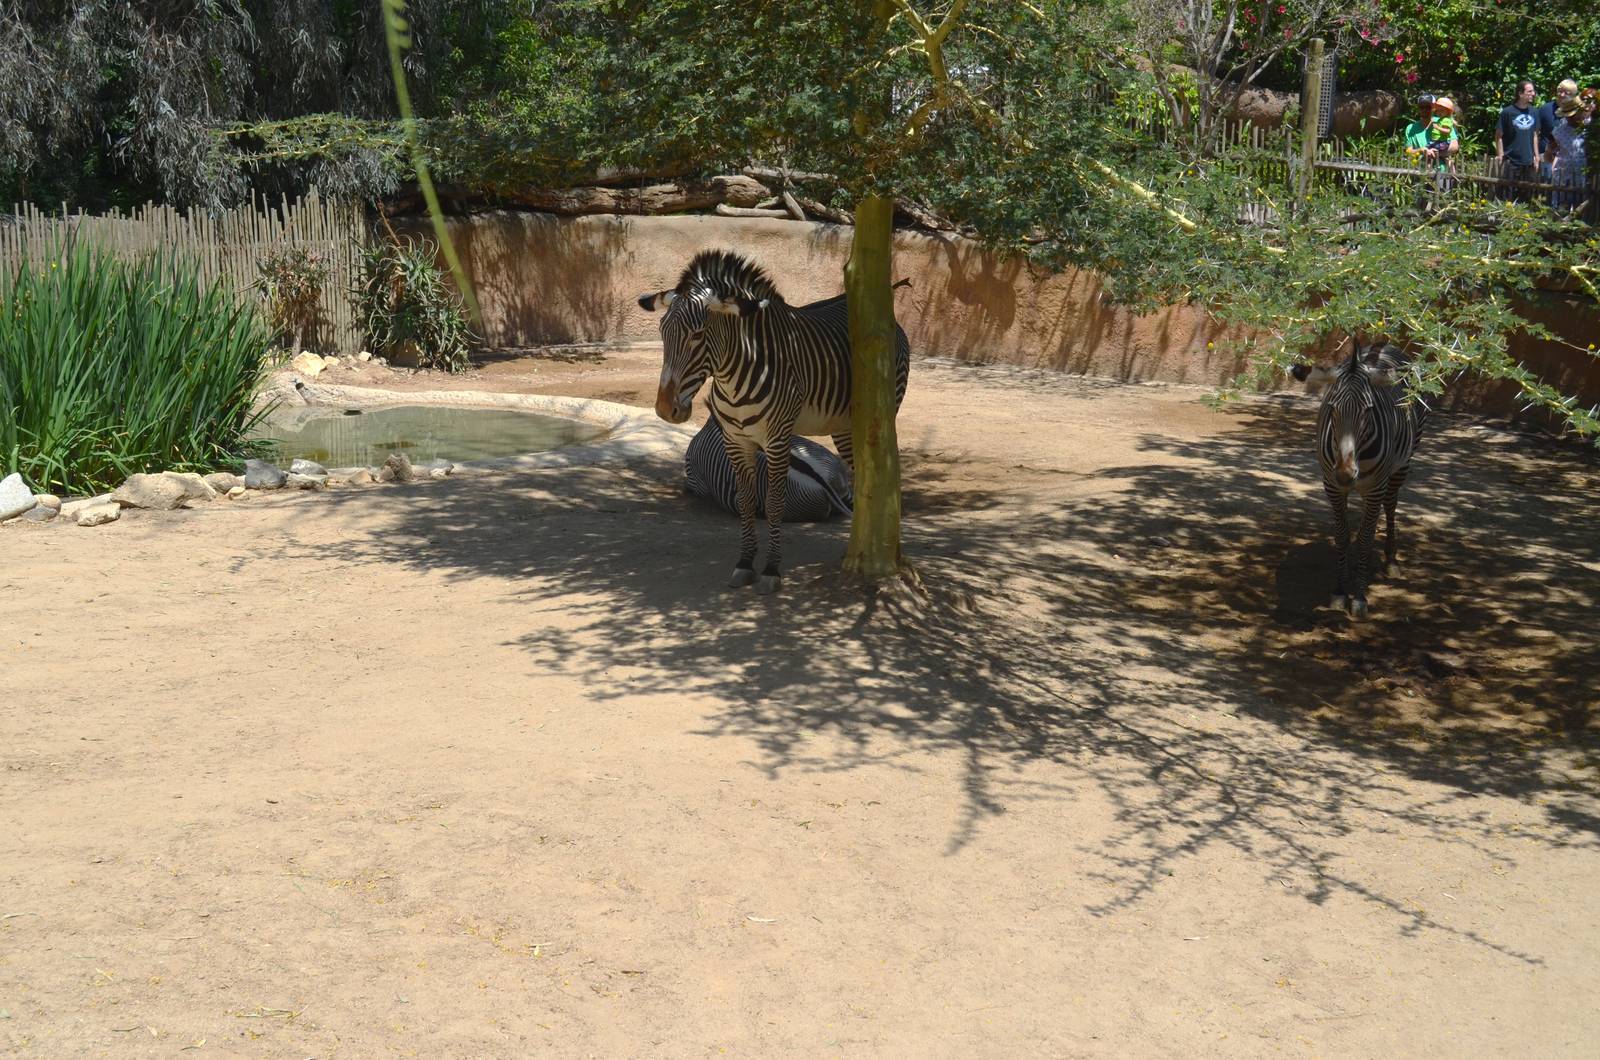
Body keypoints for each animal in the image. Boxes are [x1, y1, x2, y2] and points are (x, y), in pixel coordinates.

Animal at [638, 249, 911, 593]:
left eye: (697, 336)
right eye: (662, 333)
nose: (664, 409)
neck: (734, 376)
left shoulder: (778, 440)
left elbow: (774, 502)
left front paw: (771, 569)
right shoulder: (735, 441)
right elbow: (745, 501)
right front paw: (744, 563)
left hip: (883, 408)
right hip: (844, 426)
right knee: (862, 476)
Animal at [1292, 343, 1428, 618]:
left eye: (1369, 410)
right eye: (1332, 408)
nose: (1345, 474)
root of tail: (1387, 346)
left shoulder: (1375, 487)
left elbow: (1365, 539)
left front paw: (1360, 597)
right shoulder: (1332, 486)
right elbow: (1342, 535)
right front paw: (1340, 591)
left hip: (1402, 464)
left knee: (1390, 506)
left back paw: (1391, 560)